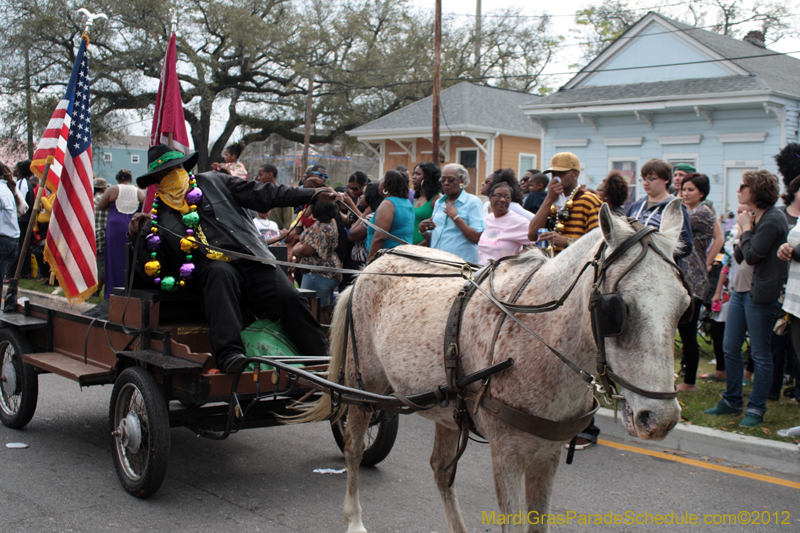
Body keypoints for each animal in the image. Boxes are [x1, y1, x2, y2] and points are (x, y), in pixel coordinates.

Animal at [298, 201, 688, 532]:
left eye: (685, 306)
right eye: (616, 310)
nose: (660, 419)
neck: (542, 335)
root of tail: (369, 267)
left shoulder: (547, 454)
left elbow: (537, 522)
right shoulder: (506, 451)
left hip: (445, 407)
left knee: (440, 470)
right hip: (363, 384)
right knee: (353, 448)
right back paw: (354, 518)